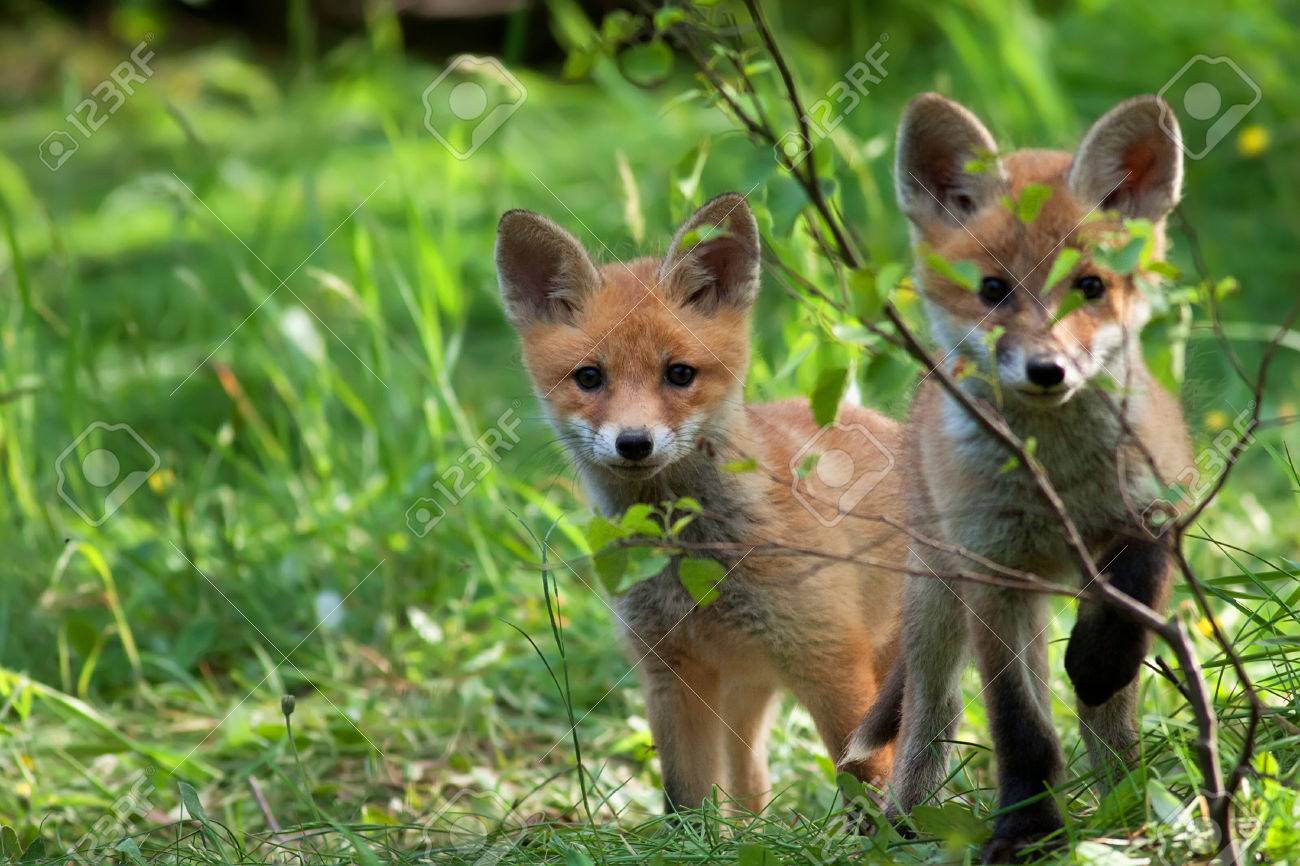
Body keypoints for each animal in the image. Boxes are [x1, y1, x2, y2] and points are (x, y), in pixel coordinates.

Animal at [496, 194, 907, 814]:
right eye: (589, 377)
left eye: (679, 374)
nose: (633, 442)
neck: (690, 561)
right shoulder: (670, 673)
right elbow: (685, 801)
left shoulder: (830, 659)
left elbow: (866, 782)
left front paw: (888, 834)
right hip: (745, 693)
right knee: (750, 787)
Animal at [844, 94, 1195, 862]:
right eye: (993, 291)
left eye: (1091, 287)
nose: (1047, 370)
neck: (1053, 476)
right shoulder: (992, 569)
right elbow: (1019, 725)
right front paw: (1027, 831)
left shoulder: (1156, 504)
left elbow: (1128, 607)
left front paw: (1095, 660)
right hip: (939, 596)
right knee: (932, 711)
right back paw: (902, 821)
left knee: (1106, 725)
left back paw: (1129, 810)